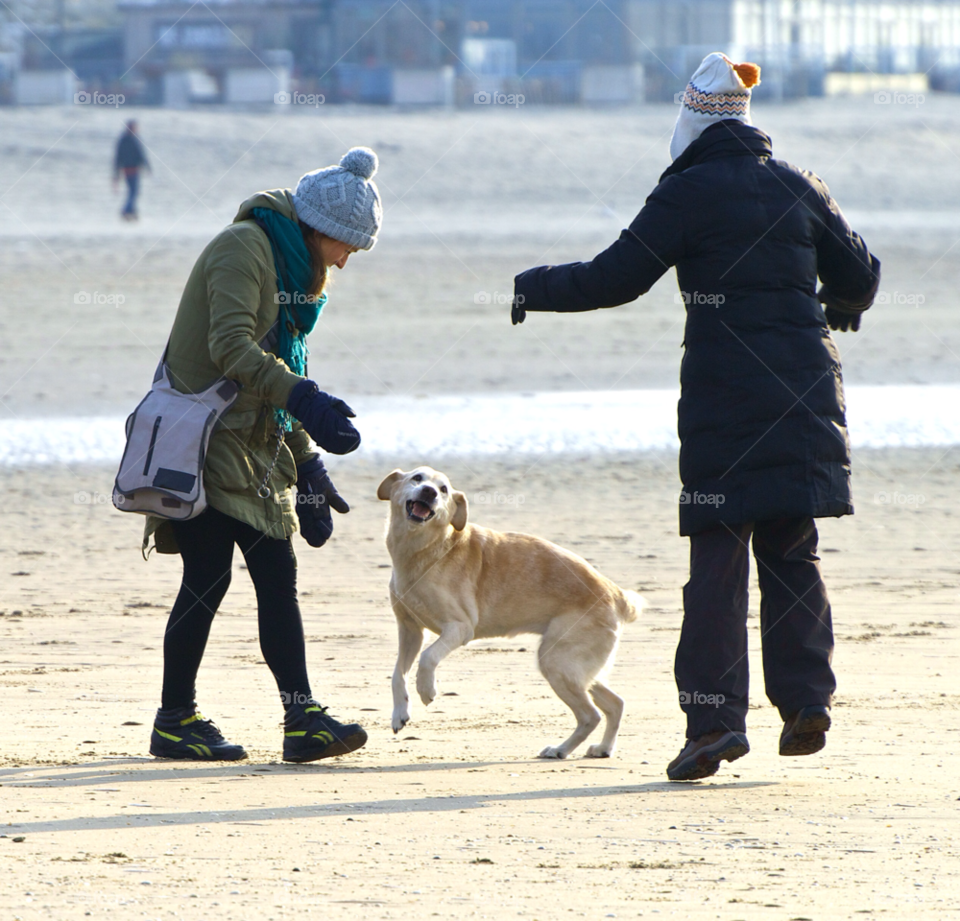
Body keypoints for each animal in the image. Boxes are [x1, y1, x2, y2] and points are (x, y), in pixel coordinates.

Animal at [376, 464, 644, 760]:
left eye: (443, 489)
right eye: (417, 478)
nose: (429, 492)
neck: (425, 550)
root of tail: (616, 594)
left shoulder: (459, 627)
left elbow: (428, 657)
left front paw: (427, 689)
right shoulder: (410, 630)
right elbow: (397, 674)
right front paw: (400, 713)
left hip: (557, 661)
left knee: (591, 716)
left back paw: (560, 750)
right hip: (580, 668)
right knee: (616, 703)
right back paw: (604, 748)